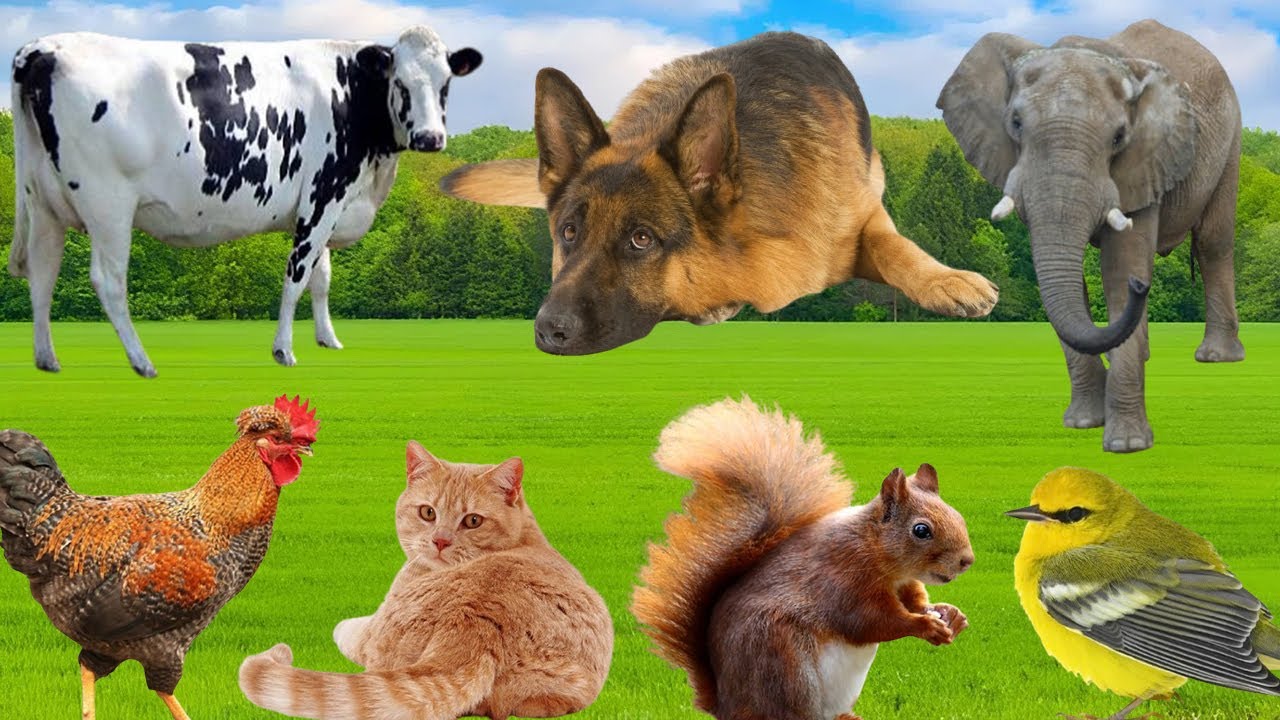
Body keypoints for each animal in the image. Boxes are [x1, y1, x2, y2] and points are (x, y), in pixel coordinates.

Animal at [9, 26, 482, 376]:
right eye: (400, 83)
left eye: (445, 85)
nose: (430, 138)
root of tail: (41, 48)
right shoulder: (323, 194)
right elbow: (296, 278)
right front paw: (284, 351)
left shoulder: (329, 204)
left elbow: (322, 278)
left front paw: (328, 339)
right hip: (108, 203)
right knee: (108, 281)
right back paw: (142, 362)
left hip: (42, 202)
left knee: (42, 275)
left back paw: (47, 360)